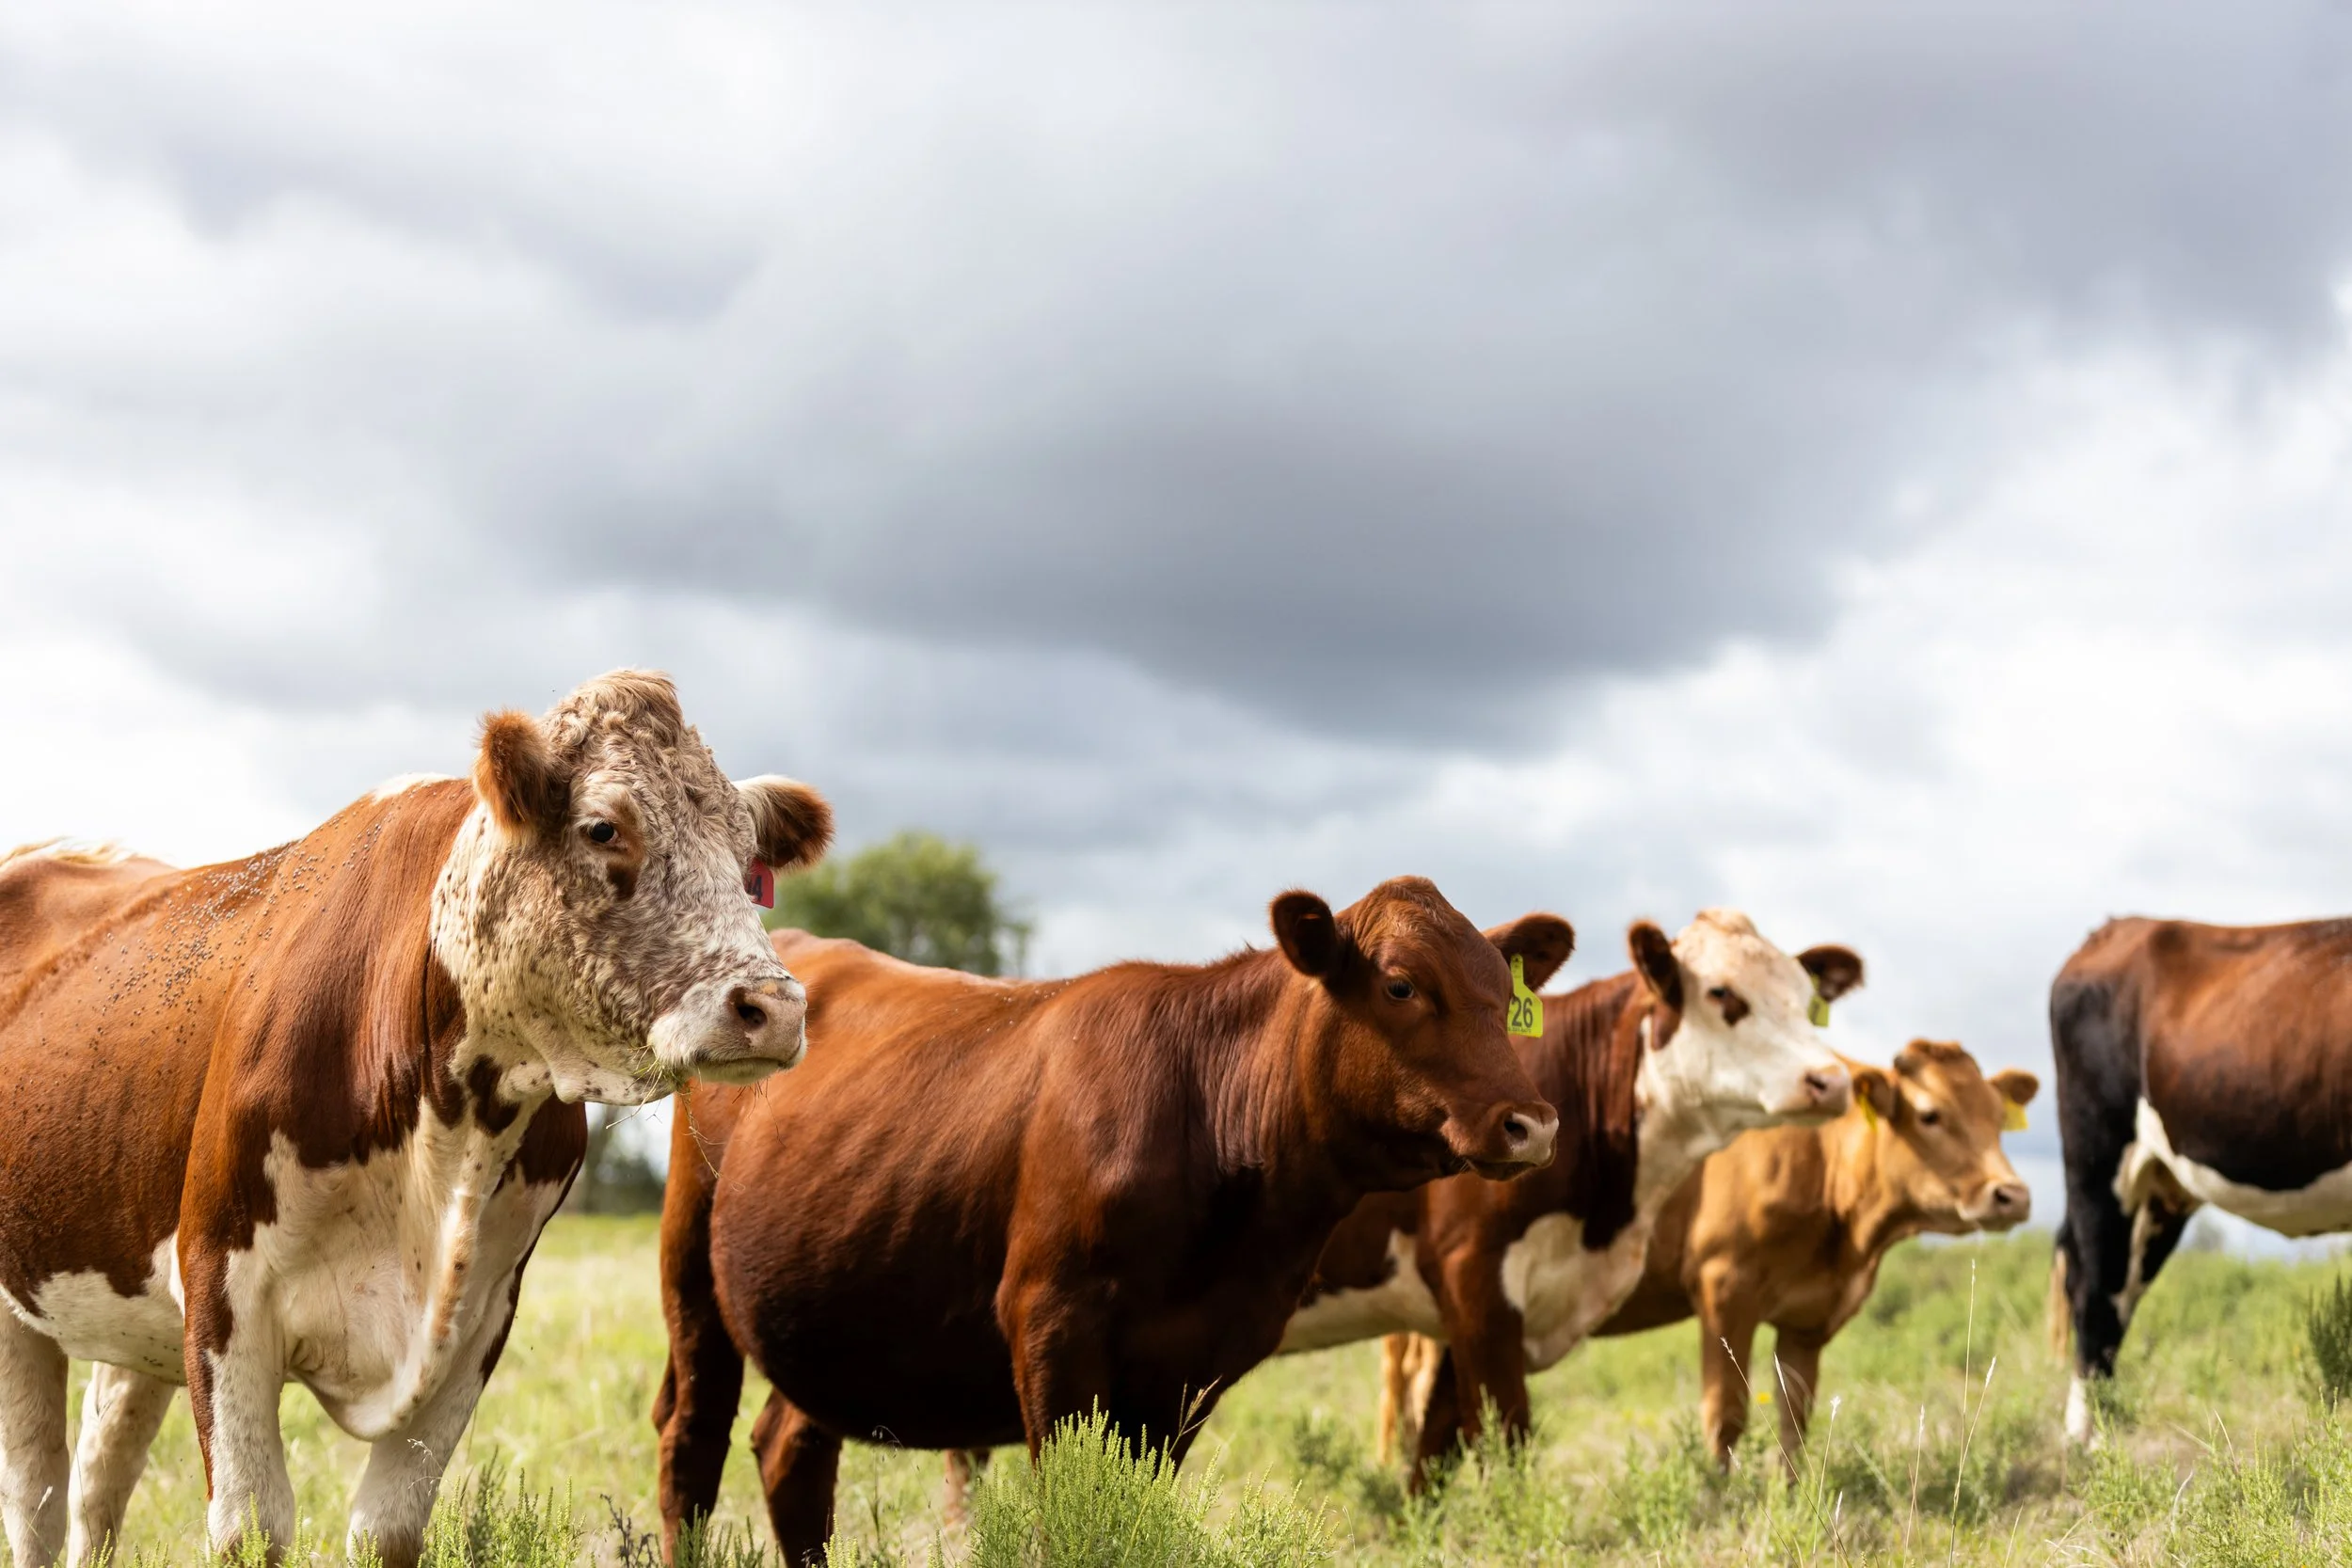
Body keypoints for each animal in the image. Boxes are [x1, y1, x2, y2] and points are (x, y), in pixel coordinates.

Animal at [0, 671, 832, 1568]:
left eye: (749, 862)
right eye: (604, 826)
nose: (774, 1007)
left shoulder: (479, 1317)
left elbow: (389, 1528)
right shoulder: (223, 1288)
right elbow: (252, 1525)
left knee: (97, 1480)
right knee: (37, 1496)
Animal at [651, 878, 1575, 1565]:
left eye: (1507, 997)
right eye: (1400, 984)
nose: (1530, 1123)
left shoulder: (1193, 1365)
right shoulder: (1050, 1324)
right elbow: (1068, 1515)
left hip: (830, 1302)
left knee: (791, 1453)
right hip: (691, 1274)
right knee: (691, 1449)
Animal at [1281, 909, 1860, 1484]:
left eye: (1805, 998)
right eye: (1721, 993)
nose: (1831, 1080)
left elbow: (1434, 1457)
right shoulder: (1474, 1279)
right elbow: (1504, 1439)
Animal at [1376, 1038, 2038, 1472]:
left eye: (1996, 1119)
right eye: (1931, 1115)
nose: (2012, 1194)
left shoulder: (1808, 1316)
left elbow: (1795, 1421)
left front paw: (1792, 1500)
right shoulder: (1726, 1289)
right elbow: (1726, 1416)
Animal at [2048, 915, 2352, 1445]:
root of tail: (2115, 927)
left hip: (2161, 1189)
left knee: (2119, 1291)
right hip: (2097, 1157)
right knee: (2095, 1290)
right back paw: (2088, 1438)